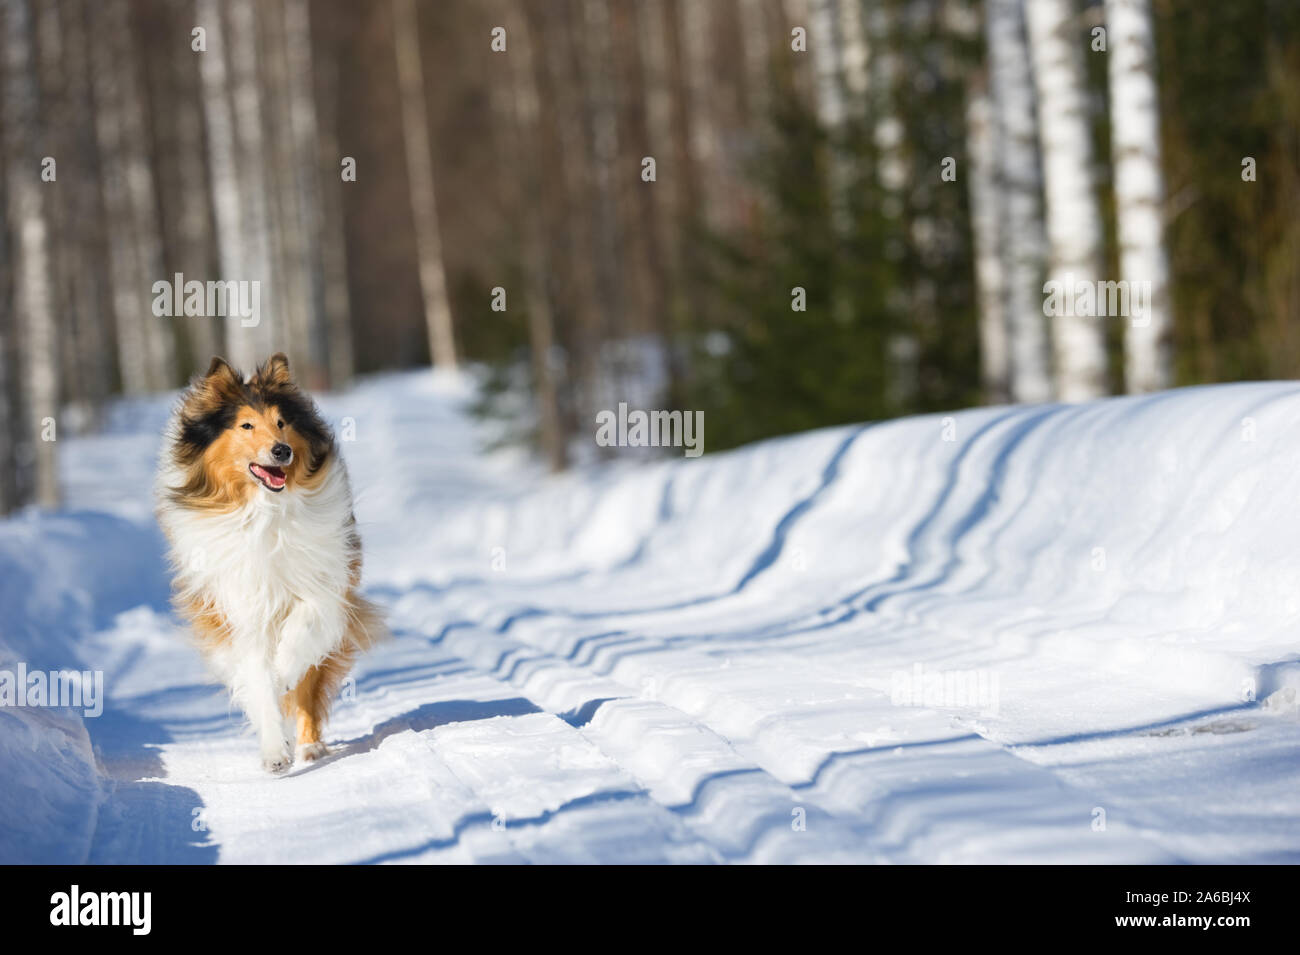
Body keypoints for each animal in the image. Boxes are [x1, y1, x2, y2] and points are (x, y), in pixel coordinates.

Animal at [154, 356, 379, 774]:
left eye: (282, 422)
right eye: (246, 425)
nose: (281, 451)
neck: (264, 510)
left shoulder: (323, 589)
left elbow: (299, 640)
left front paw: (283, 673)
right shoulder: (239, 610)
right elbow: (257, 680)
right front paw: (274, 751)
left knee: (307, 687)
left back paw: (309, 746)